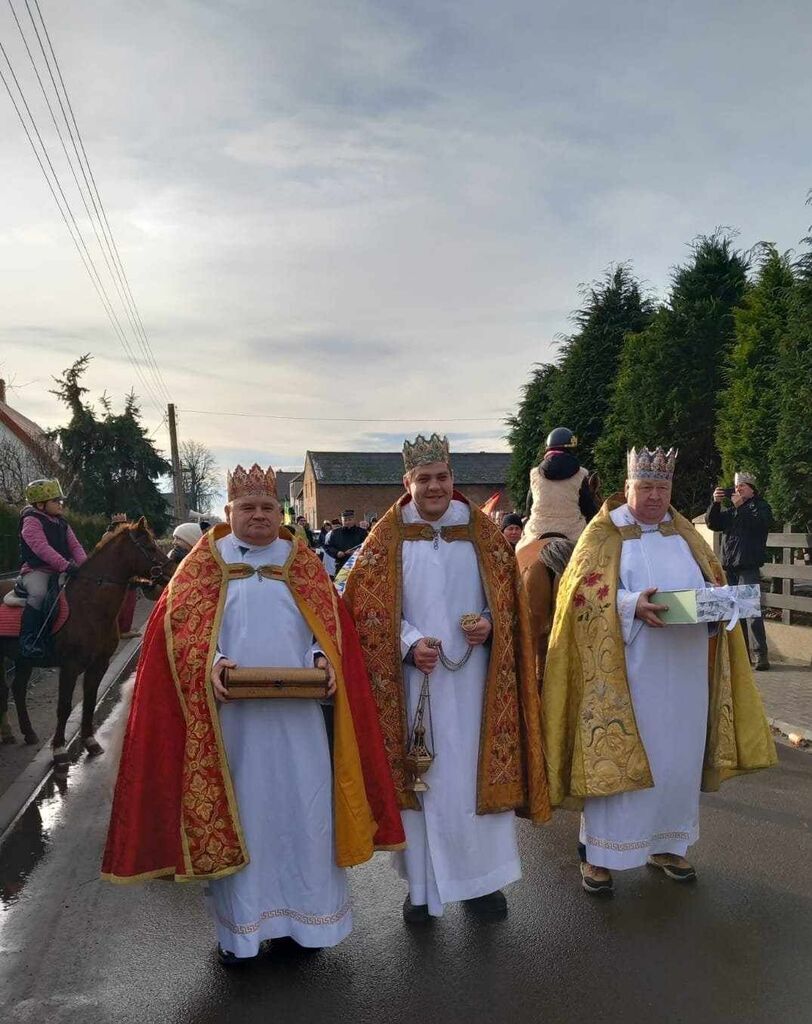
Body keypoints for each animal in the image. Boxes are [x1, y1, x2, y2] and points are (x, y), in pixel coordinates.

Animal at [0, 524, 171, 765]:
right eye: (149, 546)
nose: (173, 568)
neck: (89, 606)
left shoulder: (99, 664)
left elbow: (89, 701)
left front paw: (90, 742)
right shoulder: (70, 667)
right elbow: (64, 706)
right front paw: (59, 749)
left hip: (23, 659)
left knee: (18, 689)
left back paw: (28, 733)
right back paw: (8, 733)